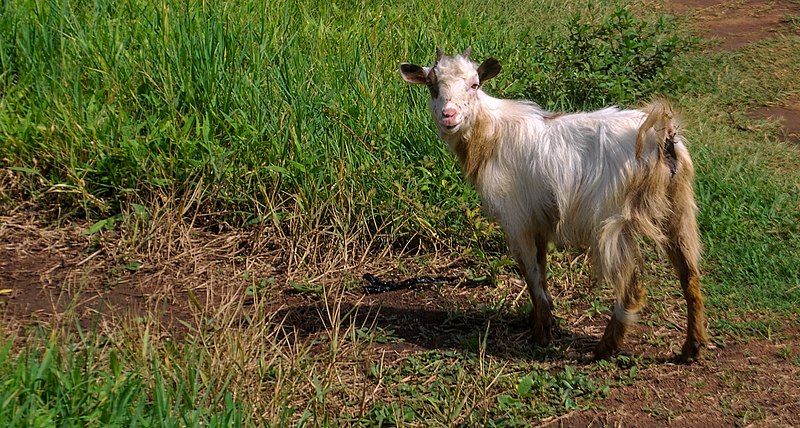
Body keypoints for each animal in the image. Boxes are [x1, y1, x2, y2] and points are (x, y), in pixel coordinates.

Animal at [400, 46, 708, 362]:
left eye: (475, 84)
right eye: (431, 84)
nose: (449, 115)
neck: (491, 135)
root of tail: (661, 132)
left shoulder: (517, 219)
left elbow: (530, 274)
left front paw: (541, 335)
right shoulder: (539, 222)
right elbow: (541, 269)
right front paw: (542, 322)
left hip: (614, 221)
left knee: (631, 285)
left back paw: (605, 348)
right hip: (679, 208)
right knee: (689, 275)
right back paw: (691, 347)